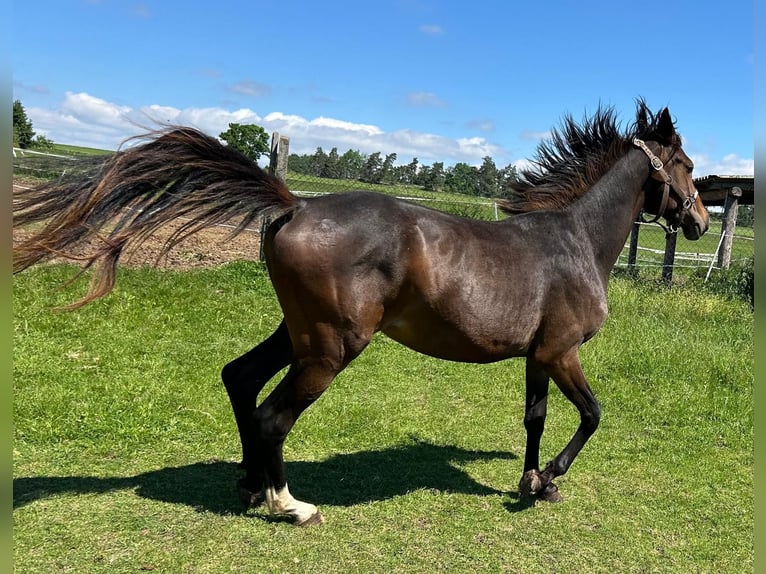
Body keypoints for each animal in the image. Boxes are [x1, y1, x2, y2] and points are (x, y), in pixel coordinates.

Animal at [13, 99, 710, 526]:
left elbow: (534, 421)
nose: (701, 221)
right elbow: (592, 415)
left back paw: (248, 484)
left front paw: (533, 481)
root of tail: (295, 204)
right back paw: (289, 505)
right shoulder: (563, 351)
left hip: (298, 334)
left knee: (240, 377)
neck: (575, 242)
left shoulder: (539, 355)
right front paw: (543, 484)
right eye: (688, 166)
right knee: (272, 414)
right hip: (331, 347)